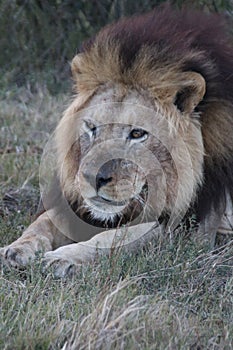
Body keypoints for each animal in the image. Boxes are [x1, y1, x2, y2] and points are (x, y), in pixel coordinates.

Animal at [0, 6, 233, 278]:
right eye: (91, 128)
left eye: (137, 134)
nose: (92, 177)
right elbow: (42, 223)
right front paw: (16, 250)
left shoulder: (185, 229)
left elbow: (114, 239)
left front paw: (62, 258)